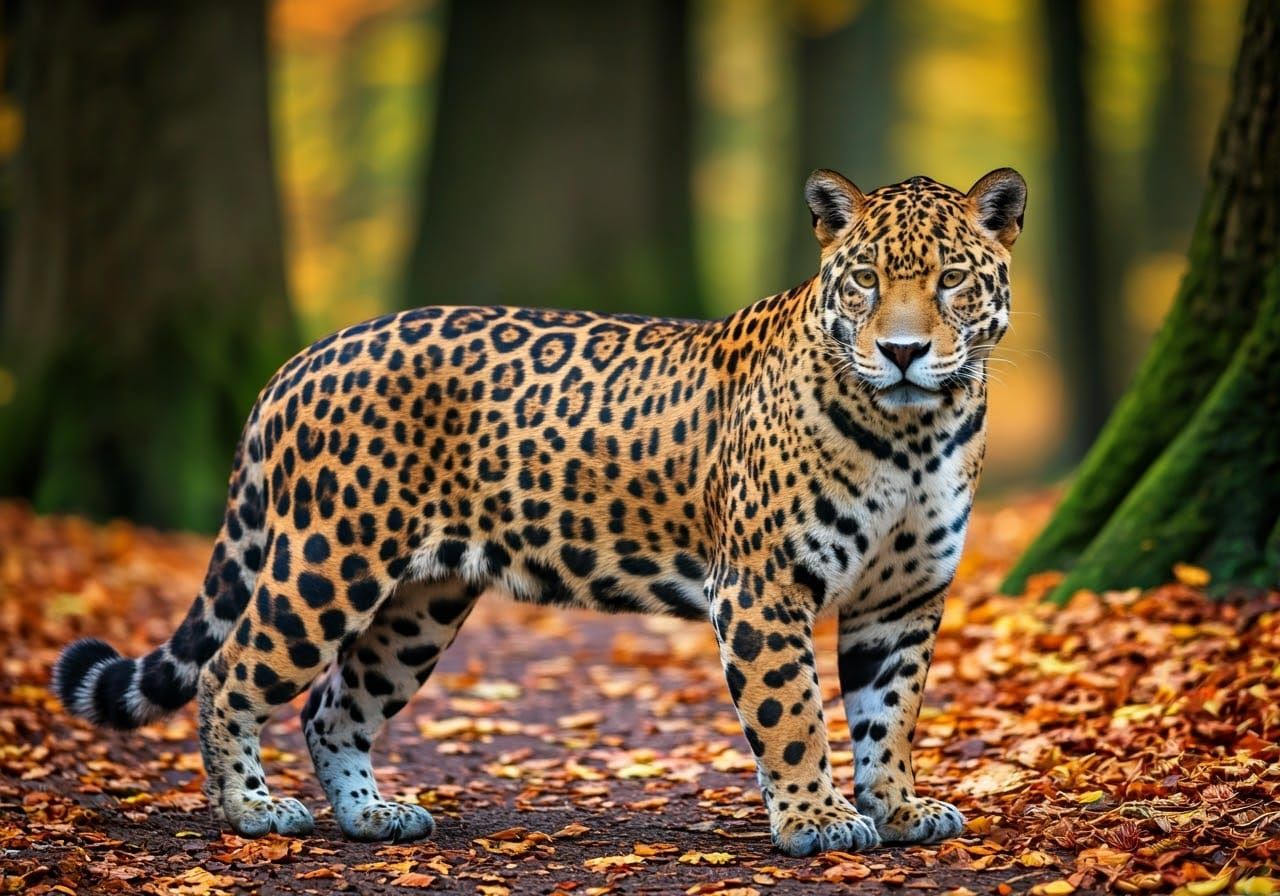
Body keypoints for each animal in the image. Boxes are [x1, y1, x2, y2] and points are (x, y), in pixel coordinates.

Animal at [53, 167, 1026, 857]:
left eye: (951, 281)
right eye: (863, 280)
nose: (901, 352)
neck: (915, 432)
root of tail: (300, 359)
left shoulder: (901, 599)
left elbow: (888, 714)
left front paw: (896, 809)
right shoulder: (762, 587)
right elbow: (793, 716)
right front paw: (816, 820)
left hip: (418, 607)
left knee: (332, 707)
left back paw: (372, 816)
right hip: (326, 567)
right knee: (231, 674)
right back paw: (252, 810)